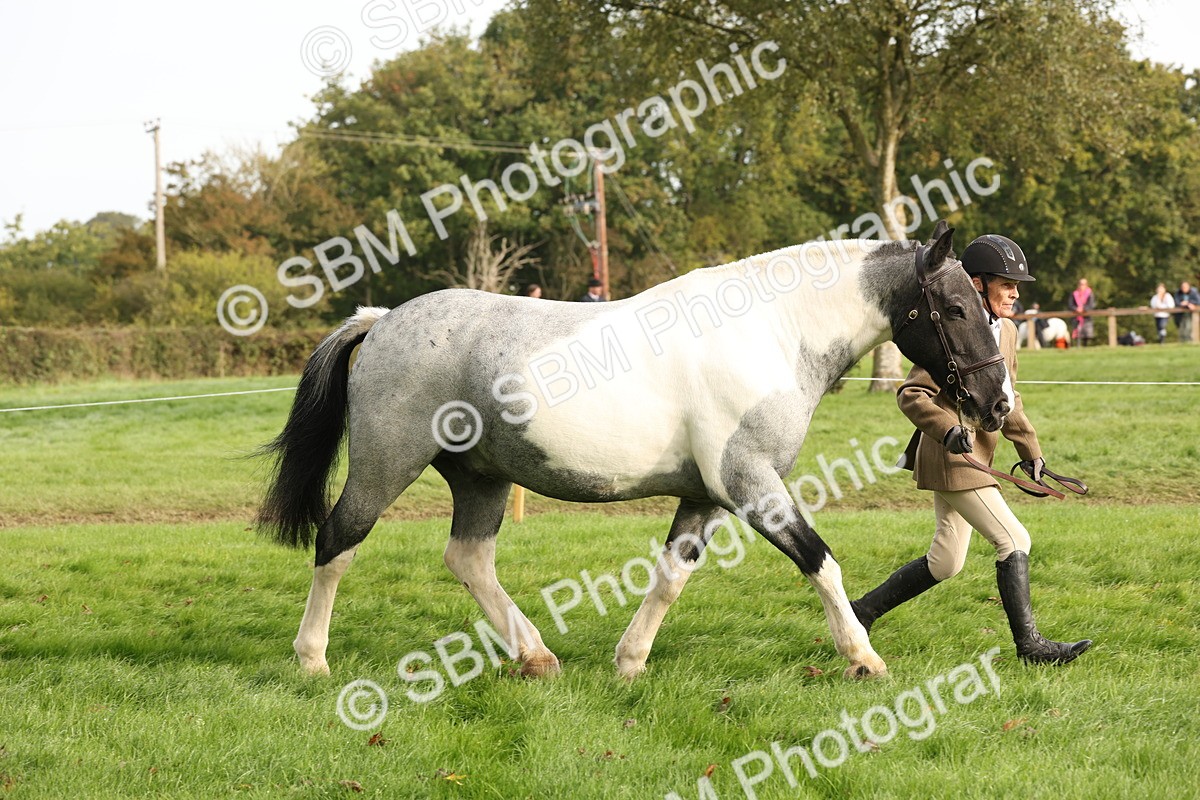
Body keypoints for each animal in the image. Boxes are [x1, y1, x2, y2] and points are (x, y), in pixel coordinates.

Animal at [257, 221, 1010, 681]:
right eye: (954, 308)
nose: (997, 402)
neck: (771, 333)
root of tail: (383, 320)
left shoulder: (705, 495)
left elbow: (672, 575)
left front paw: (630, 661)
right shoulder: (750, 484)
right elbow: (821, 561)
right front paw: (862, 657)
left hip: (481, 479)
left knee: (468, 560)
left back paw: (535, 656)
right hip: (385, 467)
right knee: (337, 541)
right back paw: (312, 658)